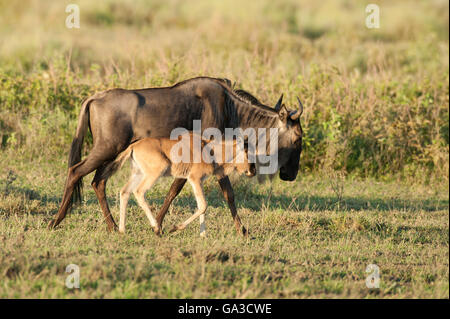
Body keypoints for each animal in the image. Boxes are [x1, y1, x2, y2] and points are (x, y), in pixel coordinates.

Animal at [106, 133, 256, 238]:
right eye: (247, 152)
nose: (253, 170)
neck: (210, 150)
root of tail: (134, 146)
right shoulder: (194, 179)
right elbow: (203, 205)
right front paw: (174, 228)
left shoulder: (198, 181)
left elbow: (201, 206)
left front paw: (203, 235)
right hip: (154, 173)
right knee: (139, 192)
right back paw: (156, 227)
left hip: (138, 174)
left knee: (125, 191)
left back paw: (122, 230)